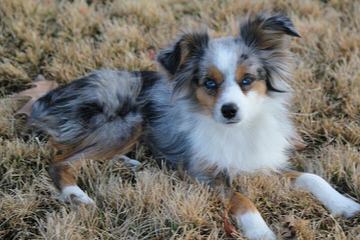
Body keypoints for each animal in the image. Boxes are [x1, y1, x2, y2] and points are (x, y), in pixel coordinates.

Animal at [29, 13, 358, 240]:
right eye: (209, 83)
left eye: (247, 80)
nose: (229, 110)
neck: (236, 131)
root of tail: (51, 96)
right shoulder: (203, 174)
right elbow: (241, 198)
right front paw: (260, 231)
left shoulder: (260, 164)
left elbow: (312, 177)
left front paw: (344, 204)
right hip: (128, 120)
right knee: (61, 160)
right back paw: (76, 195)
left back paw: (129, 163)